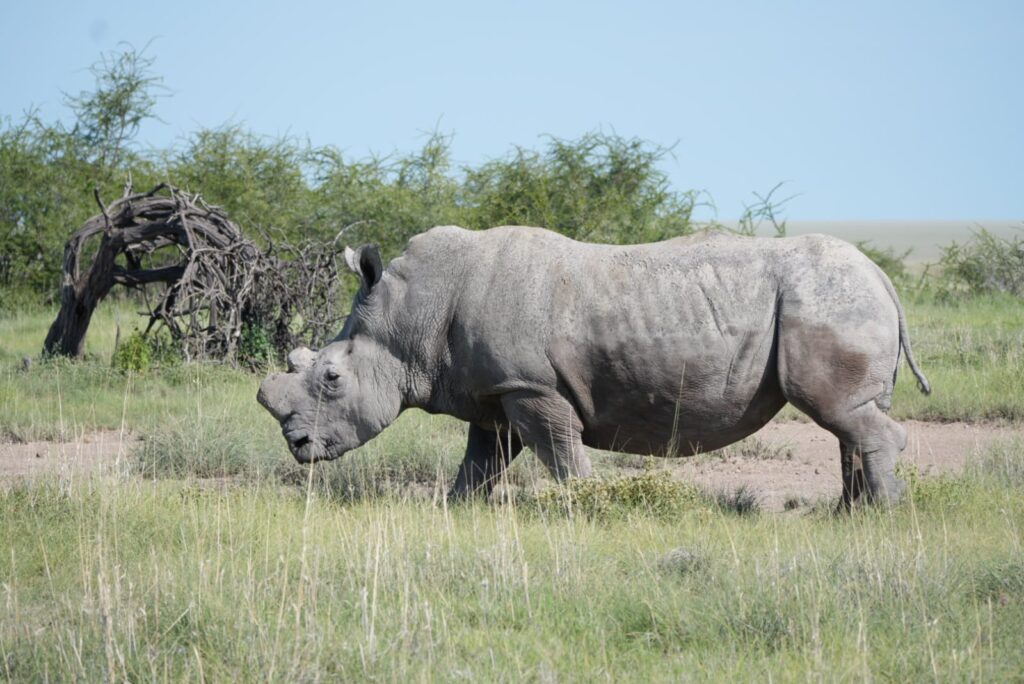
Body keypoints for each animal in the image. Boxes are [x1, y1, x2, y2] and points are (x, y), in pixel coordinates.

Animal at [253, 225, 929, 507]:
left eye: (331, 379)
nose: (298, 446)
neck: (406, 320)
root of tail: (882, 276)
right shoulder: (496, 390)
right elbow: (481, 460)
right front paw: (453, 510)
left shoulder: (531, 386)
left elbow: (560, 453)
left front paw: (588, 507)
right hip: (837, 300)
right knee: (847, 419)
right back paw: (849, 513)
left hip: (828, 301)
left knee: (839, 413)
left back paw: (881, 515)